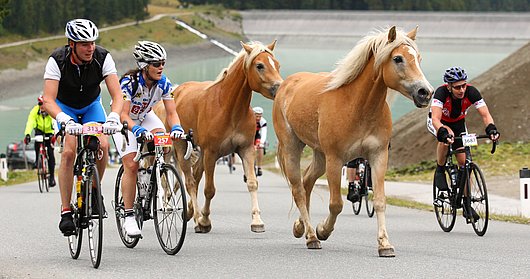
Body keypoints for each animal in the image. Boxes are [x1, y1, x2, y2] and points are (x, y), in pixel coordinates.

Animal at [155, 41, 282, 234]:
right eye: (260, 65)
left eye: (277, 64)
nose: (279, 87)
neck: (229, 109)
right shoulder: (211, 153)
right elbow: (209, 189)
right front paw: (204, 220)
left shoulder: (246, 149)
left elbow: (252, 183)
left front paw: (257, 221)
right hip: (182, 147)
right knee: (190, 182)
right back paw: (197, 217)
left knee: (195, 177)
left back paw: (191, 212)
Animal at [272, 26, 434, 258]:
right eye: (398, 58)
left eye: (418, 58)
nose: (425, 93)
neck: (358, 106)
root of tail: (286, 84)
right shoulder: (335, 160)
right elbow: (336, 204)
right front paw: (323, 230)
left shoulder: (378, 157)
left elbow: (380, 201)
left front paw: (385, 244)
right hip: (293, 148)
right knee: (298, 190)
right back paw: (312, 236)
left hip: (319, 155)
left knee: (307, 181)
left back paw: (300, 227)